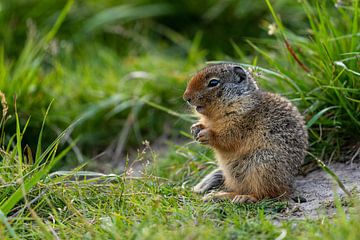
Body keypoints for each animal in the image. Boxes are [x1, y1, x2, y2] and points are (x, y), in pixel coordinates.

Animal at [184, 62, 308, 202]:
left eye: (213, 82)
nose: (186, 97)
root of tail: (289, 185)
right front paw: (195, 128)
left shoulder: (240, 125)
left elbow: (227, 137)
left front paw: (206, 135)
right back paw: (218, 195)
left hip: (261, 167)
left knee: (266, 194)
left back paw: (242, 198)